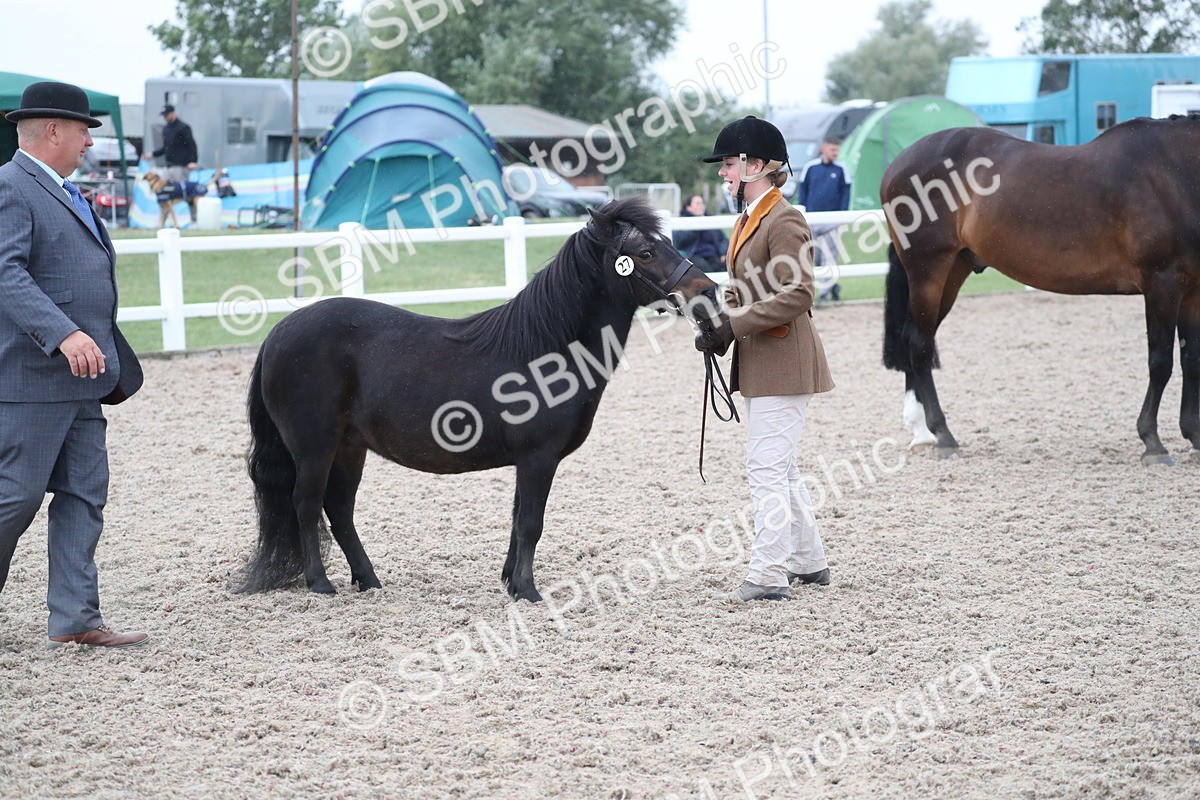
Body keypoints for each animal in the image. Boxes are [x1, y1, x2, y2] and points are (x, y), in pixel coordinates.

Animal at [238, 197, 721, 601]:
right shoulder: (539, 457)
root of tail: (278, 332)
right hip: (315, 445)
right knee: (306, 504)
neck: (547, 347)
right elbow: (531, 523)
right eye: (645, 253)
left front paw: (511, 581)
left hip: (349, 446)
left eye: (666, 243)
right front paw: (528, 591)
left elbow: (517, 521)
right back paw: (320, 583)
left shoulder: (527, 461)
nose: (707, 291)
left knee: (339, 508)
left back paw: (369, 580)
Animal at [881, 117, 1200, 466]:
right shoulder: (1161, 284)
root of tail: (898, 163)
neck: (1174, 171)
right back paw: (943, 435)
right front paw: (1153, 443)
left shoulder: (1192, 293)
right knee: (919, 344)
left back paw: (921, 432)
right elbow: (1161, 363)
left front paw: (1194, 435)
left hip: (953, 271)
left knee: (913, 340)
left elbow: (1190, 359)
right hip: (929, 271)